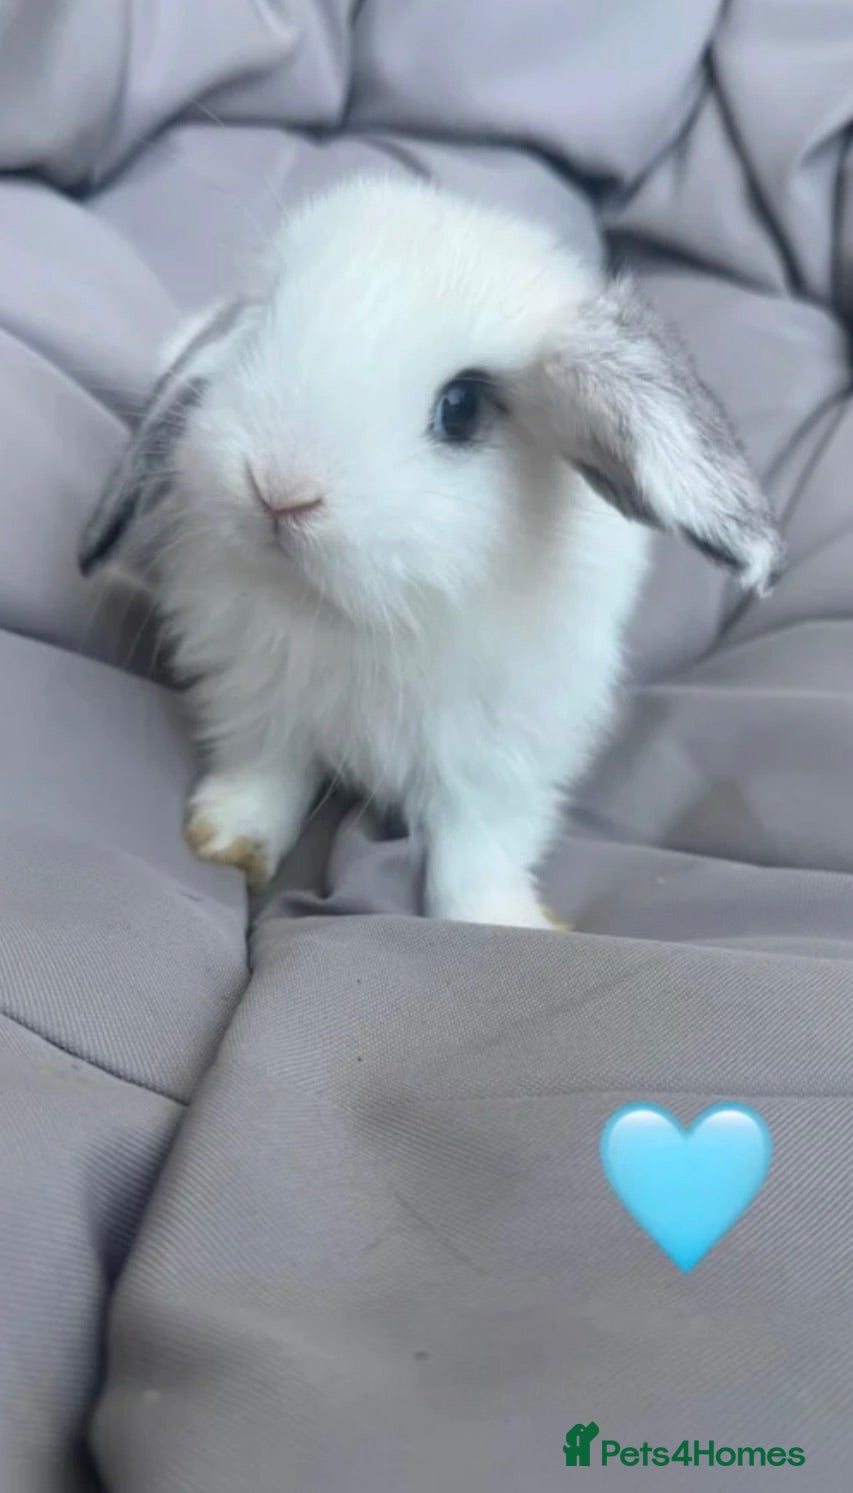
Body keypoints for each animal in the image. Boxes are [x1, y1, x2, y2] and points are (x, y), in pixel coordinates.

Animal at [79, 175, 784, 930]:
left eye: (462, 408)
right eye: (262, 328)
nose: (278, 489)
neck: (356, 615)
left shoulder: (503, 755)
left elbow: (475, 850)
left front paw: (499, 921)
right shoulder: (257, 701)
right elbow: (264, 773)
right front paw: (226, 844)